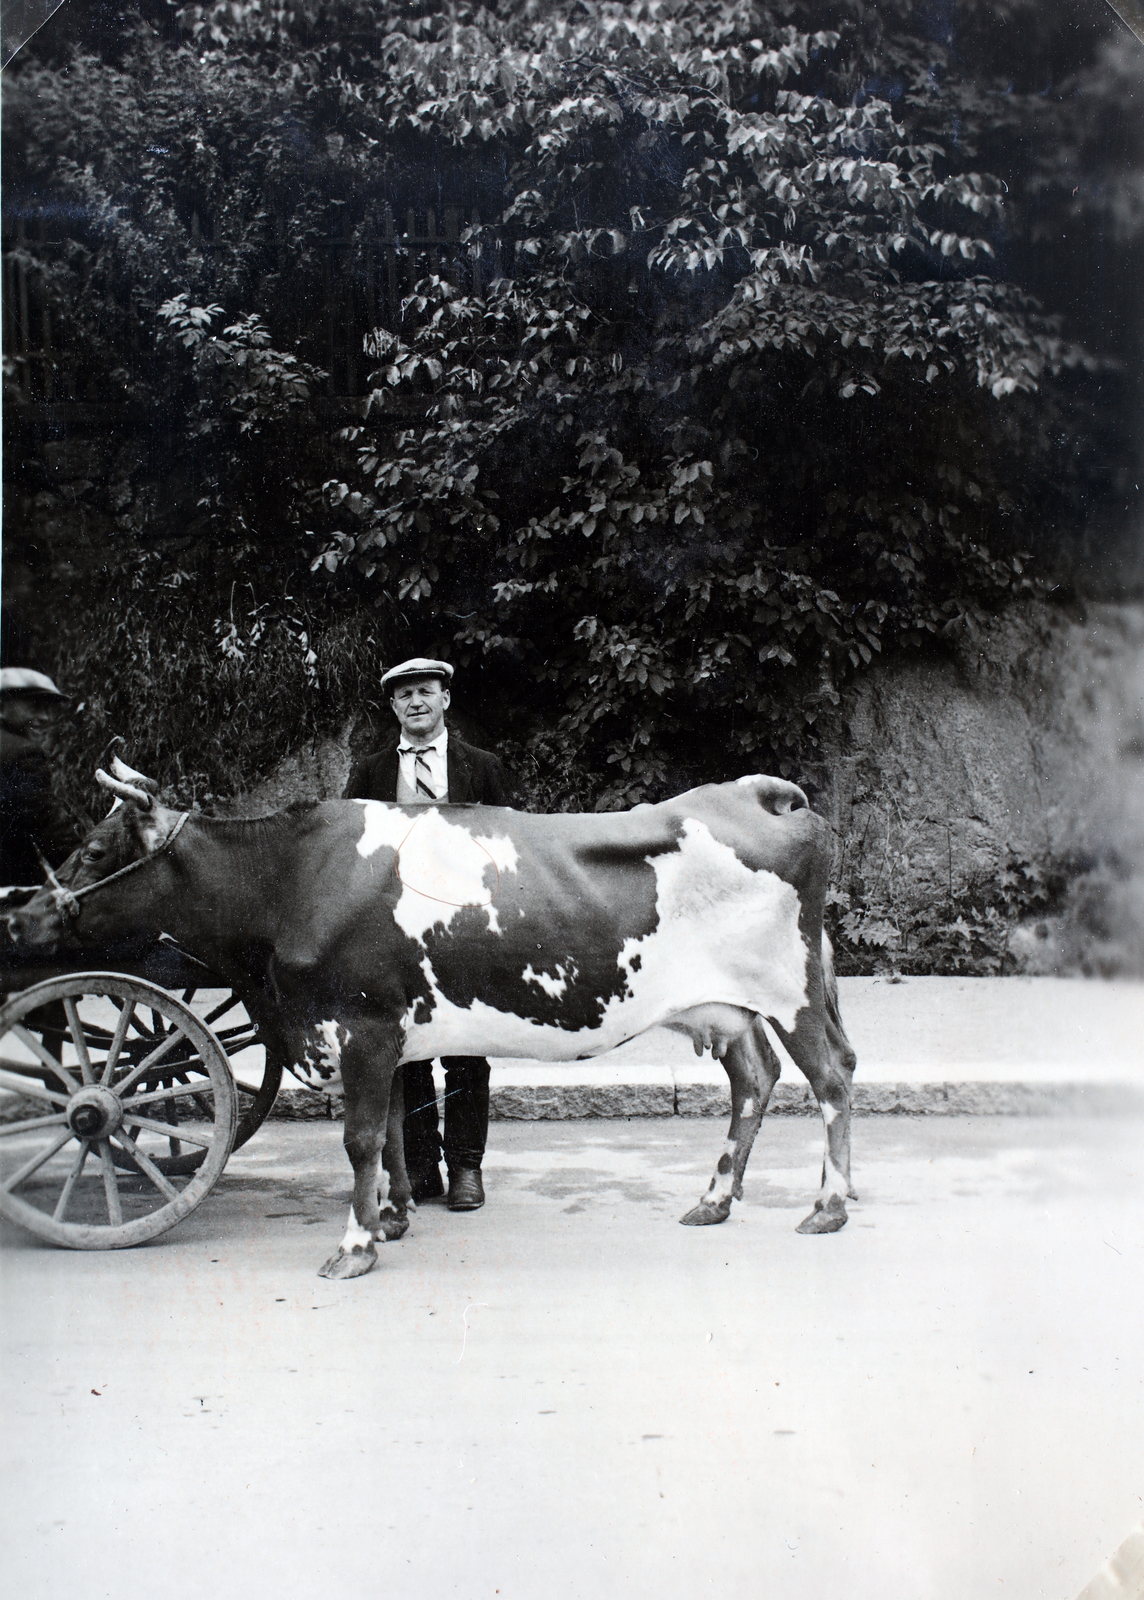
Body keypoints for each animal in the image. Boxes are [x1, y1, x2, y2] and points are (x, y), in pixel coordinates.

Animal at [2, 768, 857, 1280]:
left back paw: (829, 1206)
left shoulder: (361, 1027)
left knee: (830, 1080)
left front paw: (353, 1247)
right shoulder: (388, 1035)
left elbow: (357, 1137)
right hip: (727, 1006)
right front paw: (391, 1216)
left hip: (790, 990)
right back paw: (714, 1200)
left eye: (96, 849)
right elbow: (389, 1133)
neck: (289, 880)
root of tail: (755, 791)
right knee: (754, 1081)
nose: (20, 918)